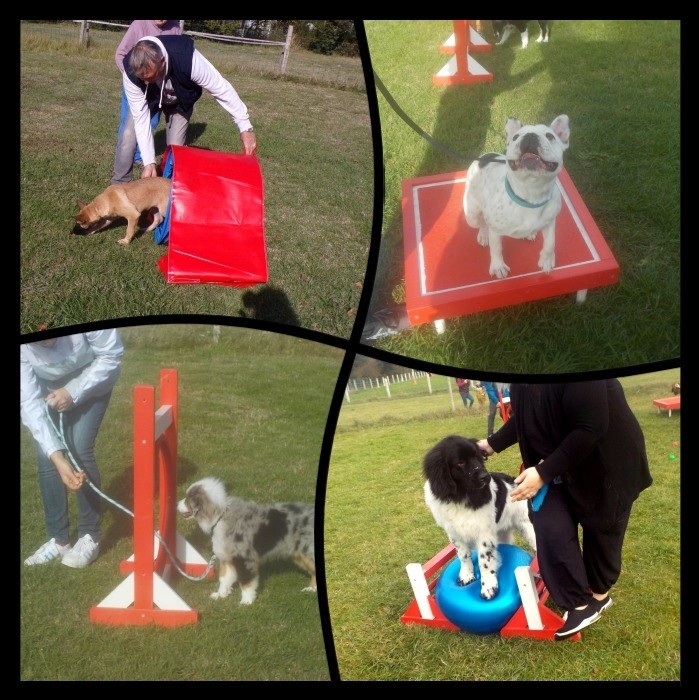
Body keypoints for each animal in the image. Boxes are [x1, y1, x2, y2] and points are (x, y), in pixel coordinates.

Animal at [424, 434, 540, 600]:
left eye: (477, 457)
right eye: (460, 462)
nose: (485, 477)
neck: (461, 496)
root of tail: (516, 481)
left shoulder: (484, 534)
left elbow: (484, 560)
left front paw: (489, 586)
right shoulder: (454, 533)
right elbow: (463, 555)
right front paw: (466, 575)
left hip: (527, 527)